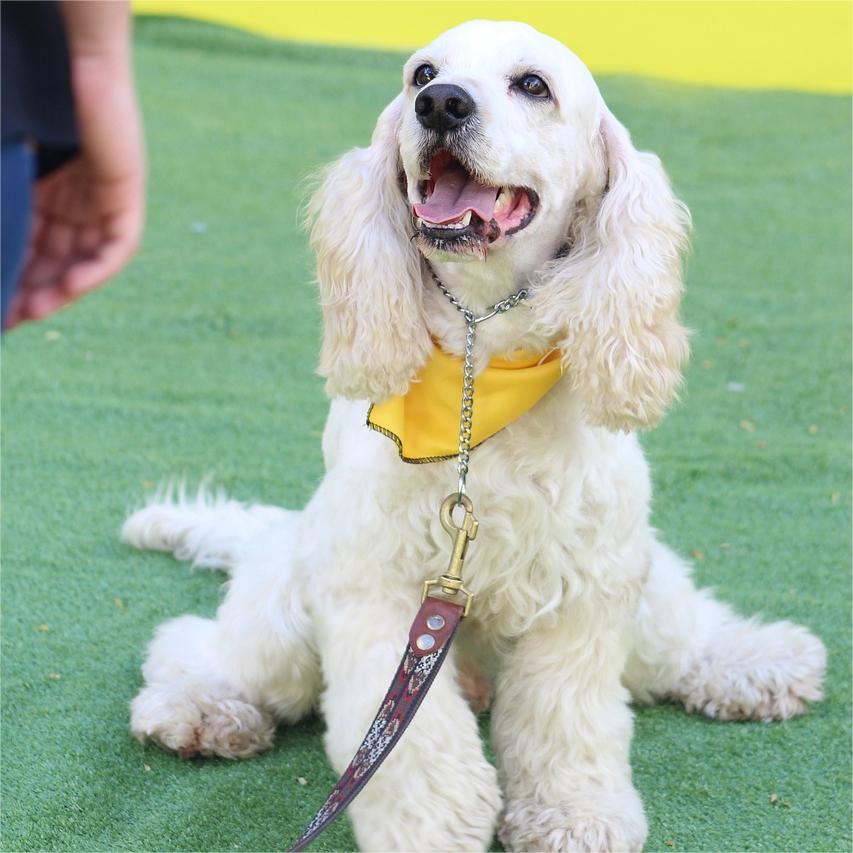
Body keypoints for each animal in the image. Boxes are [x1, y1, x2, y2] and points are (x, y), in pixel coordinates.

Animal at [126, 20, 824, 852]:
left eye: (532, 85)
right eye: (421, 74)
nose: (441, 105)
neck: (476, 367)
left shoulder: (585, 587)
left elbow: (568, 725)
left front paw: (575, 816)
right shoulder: (380, 593)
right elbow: (413, 750)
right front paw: (432, 828)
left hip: (646, 589)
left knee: (682, 640)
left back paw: (760, 664)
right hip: (287, 613)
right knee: (197, 643)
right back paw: (200, 708)